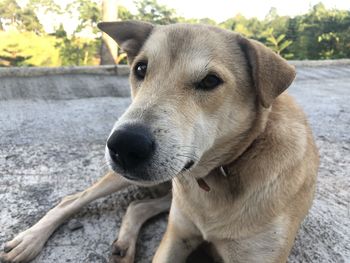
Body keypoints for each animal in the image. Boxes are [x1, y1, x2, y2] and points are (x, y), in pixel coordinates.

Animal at [0, 21, 318, 263]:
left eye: (210, 81)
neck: (224, 172)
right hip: (128, 179)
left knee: (137, 205)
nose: (124, 146)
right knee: (72, 199)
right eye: (140, 69)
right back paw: (29, 239)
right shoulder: (175, 237)